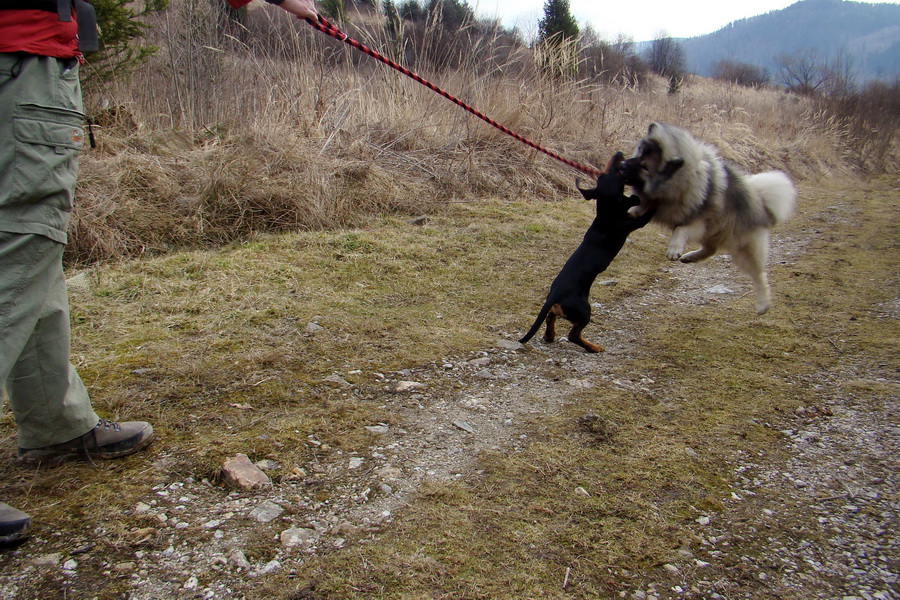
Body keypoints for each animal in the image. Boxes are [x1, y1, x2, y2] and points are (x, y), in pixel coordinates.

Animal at [520, 152, 652, 354]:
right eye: (614, 172)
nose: (619, 153)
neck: (608, 212)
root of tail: (555, 294)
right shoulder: (635, 222)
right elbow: (649, 211)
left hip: (562, 309)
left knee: (551, 317)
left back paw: (550, 336)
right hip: (584, 310)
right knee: (573, 335)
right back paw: (593, 347)